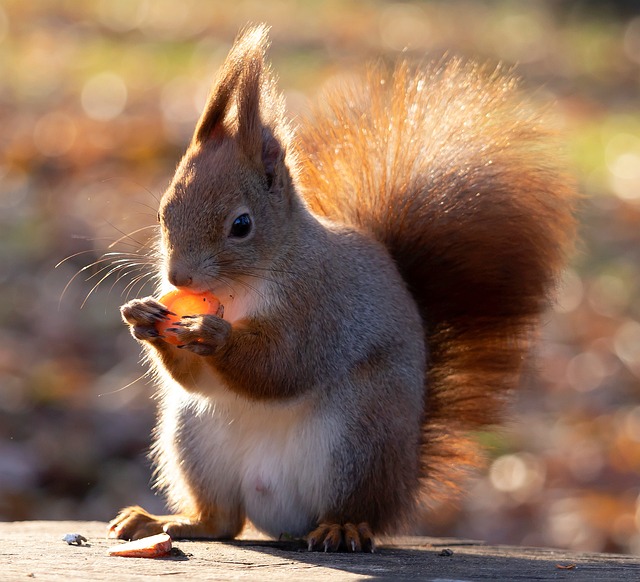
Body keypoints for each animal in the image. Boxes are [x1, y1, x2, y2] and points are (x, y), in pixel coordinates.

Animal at [107, 24, 576, 552]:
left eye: (241, 225)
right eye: (162, 212)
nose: (178, 279)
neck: (244, 287)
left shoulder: (322, 306)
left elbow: (284, 365)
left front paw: (214, 335)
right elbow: (196, 379)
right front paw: (143, 317)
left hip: (359, 439)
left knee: (350, 505)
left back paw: (343, 527)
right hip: (195, 438)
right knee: (223, 520)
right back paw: (165, 521)